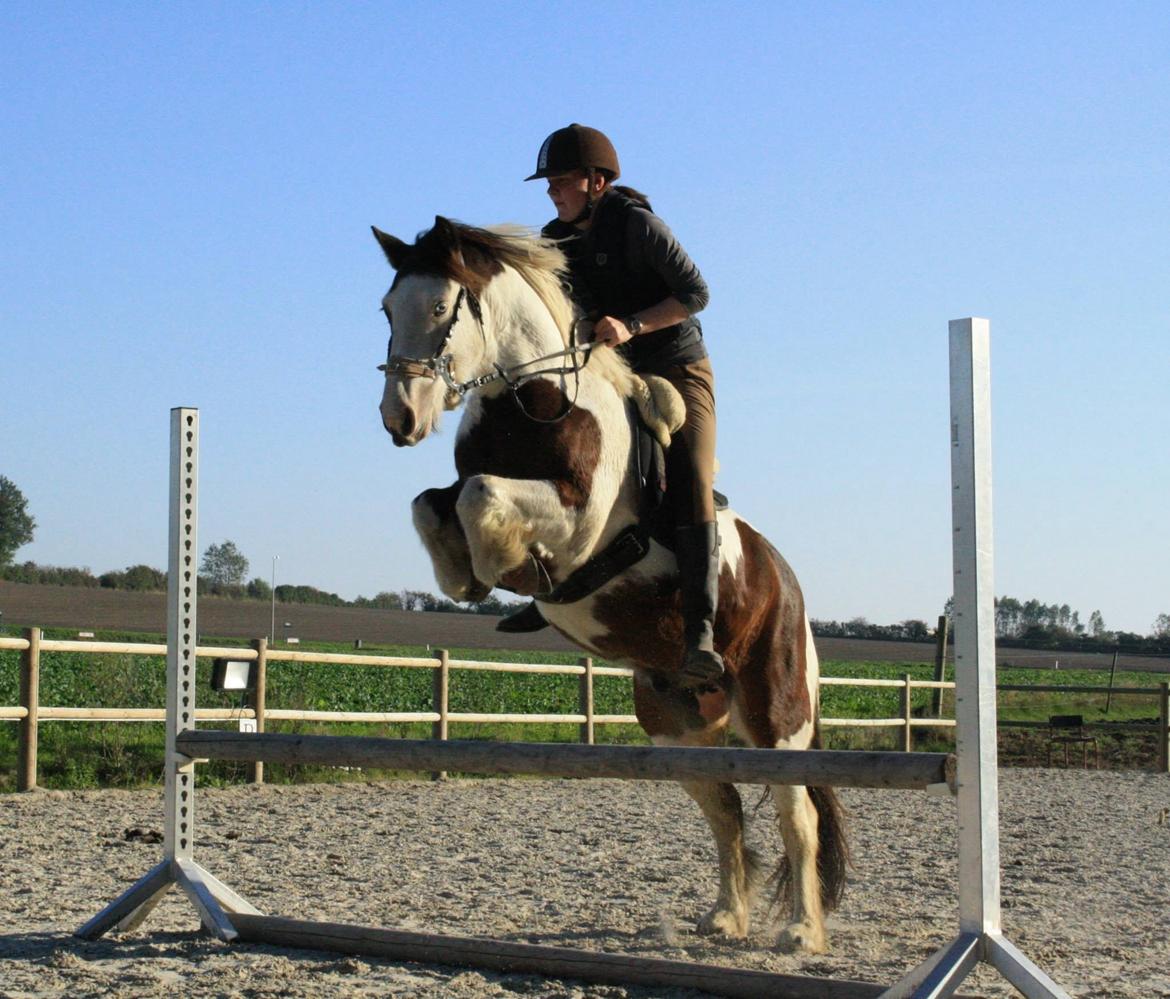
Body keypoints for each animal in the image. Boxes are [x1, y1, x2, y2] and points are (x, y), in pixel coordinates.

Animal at [369, 217, 847, 954]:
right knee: (726, 811)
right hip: (677, 731)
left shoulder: (580, 522)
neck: (532, 400)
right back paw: (725, 917)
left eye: (441, 307)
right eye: (389, 309)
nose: (401, 419)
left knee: (799, 818)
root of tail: (788, 584)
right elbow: (431, 503)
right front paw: (466, 578)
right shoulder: (463, 489)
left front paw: (498, 564)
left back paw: (801, 930)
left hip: (778, 715)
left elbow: (481, 498)